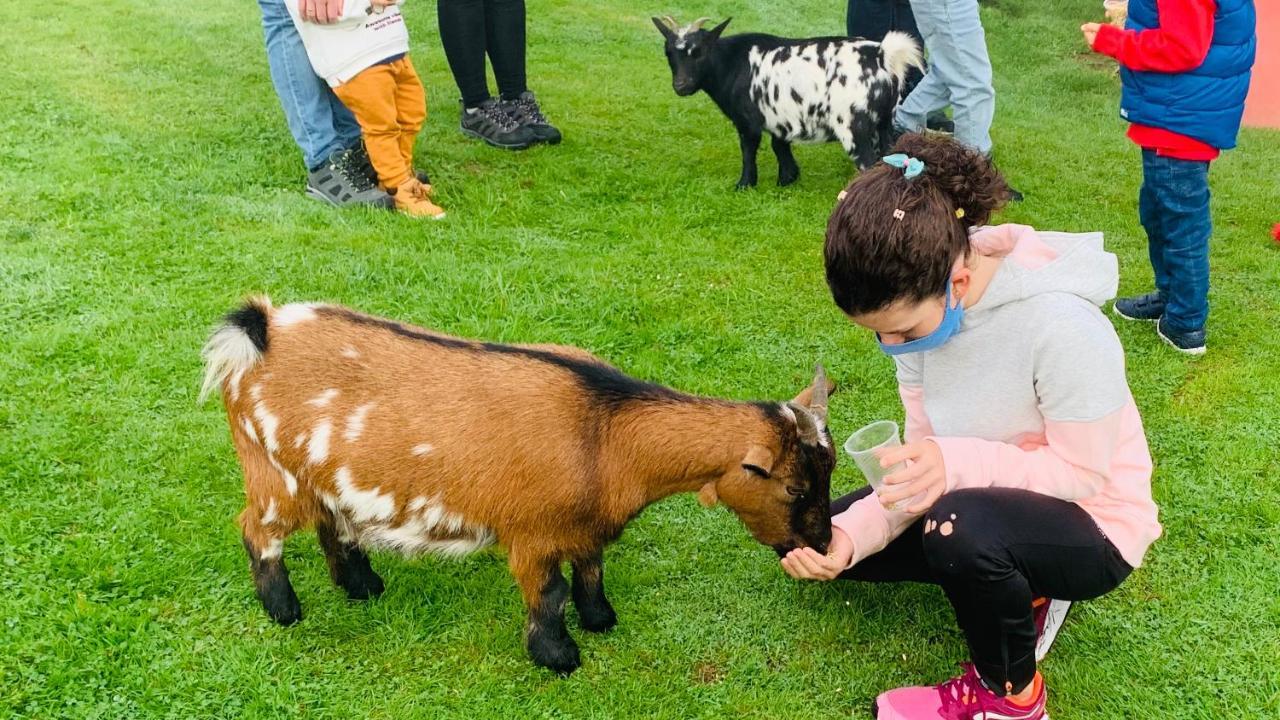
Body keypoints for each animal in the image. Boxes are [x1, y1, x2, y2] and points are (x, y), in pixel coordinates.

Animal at [199, 297, 834, 671]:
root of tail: (260, 327)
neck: (604, 432)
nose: (825, 543)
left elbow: (592, 569)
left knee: (335, 522)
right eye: (793, 489)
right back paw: (284, 609)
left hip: (322, 474)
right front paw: (558, 655)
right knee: (258, 529)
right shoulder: (532, 533)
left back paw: (362, 586)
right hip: (272, 470)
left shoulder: (583, 527)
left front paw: (601, 620)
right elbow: (549, 594)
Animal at [660, 16, 921, 188]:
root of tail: (881, 55)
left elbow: (748, 150)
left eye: (699, 51)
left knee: (868, 162)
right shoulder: (780, 117)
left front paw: (744, 184)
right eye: (668, 53)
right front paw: (787, 179)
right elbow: (779, 145)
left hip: (853, 126)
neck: (733, 63)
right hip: (885, 121)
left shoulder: (747, 121)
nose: (681, 86)